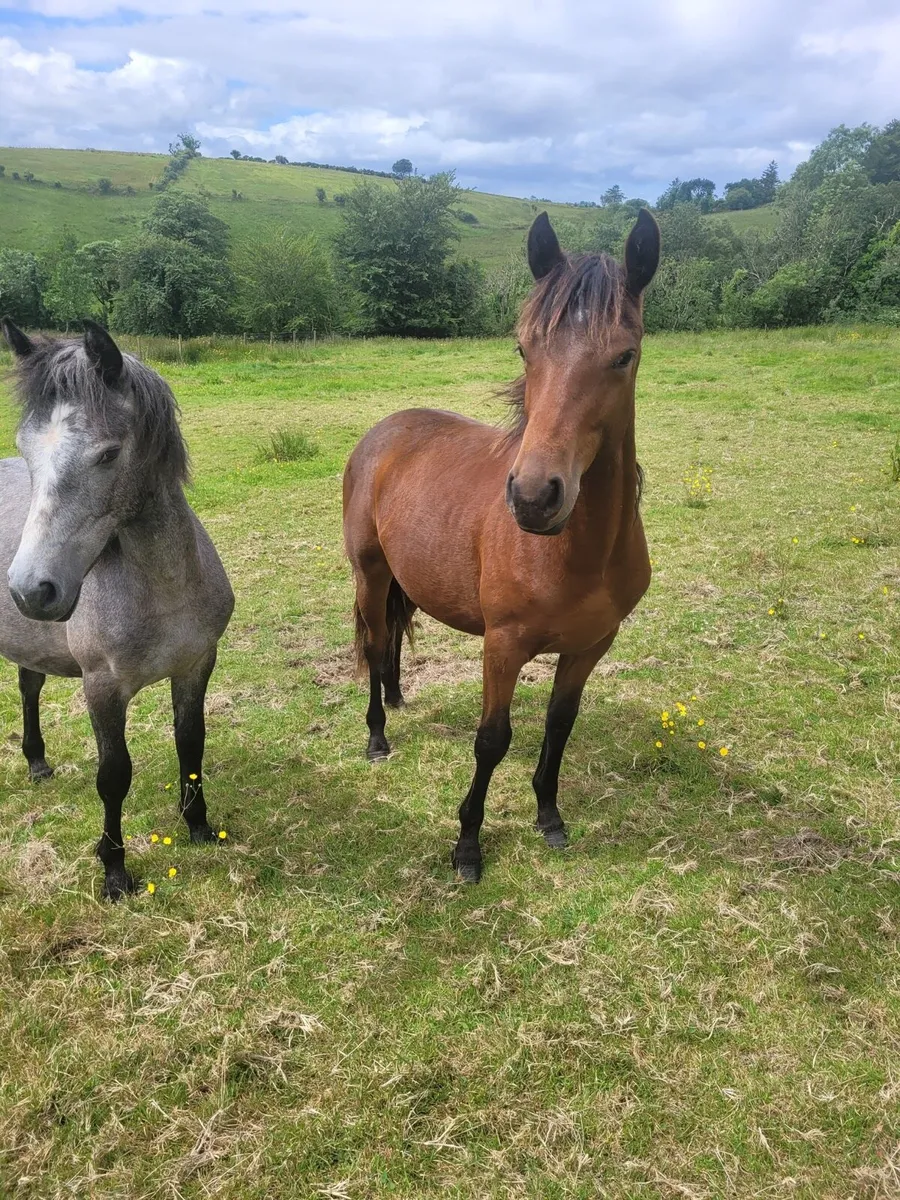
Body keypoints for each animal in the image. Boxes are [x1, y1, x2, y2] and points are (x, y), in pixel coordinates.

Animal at [0, 319, 234, 900]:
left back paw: (37, 762)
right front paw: (114, 871)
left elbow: (190, 745)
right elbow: (113, 775)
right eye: (25, 449)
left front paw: (199, 826)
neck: (163, 587)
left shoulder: (196, 665)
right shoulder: (102, 687)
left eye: (107, 454)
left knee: (29, 686)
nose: (31, 590)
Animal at [343, 209, 660, 882]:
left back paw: (399, 698)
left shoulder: (591, 646)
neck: (577, 554)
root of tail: (383, 432)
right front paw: (467, 845)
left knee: (393, 641)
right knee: (376, 642)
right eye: (524, 348)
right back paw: (378, 736)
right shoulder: (503, 645)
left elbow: (559, 727)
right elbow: (492, 740)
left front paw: (550, 816)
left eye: (625, 356)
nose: (536, 496)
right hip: (371, 574)